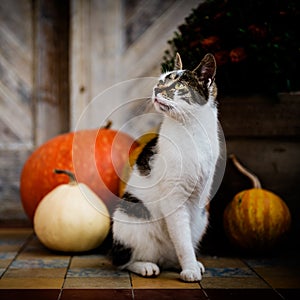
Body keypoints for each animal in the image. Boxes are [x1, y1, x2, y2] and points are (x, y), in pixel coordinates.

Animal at [111, 52, 219, 282]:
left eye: (177, 85)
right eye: (161, 81)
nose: (156, 89)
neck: (192, 130)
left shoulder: (199, 196)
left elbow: (186, 237)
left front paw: (191, 264)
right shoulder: (174, 197)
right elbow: (182, 239)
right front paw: (190, 269)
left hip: (203, 218)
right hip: (130, 215)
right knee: (123, 261)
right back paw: (145, 266)